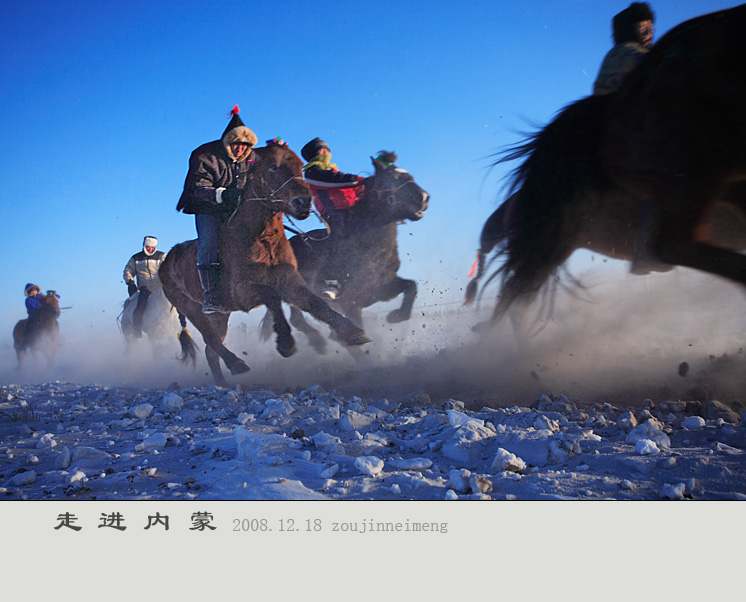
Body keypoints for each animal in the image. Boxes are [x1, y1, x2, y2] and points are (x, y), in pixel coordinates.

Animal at [158, 143, 368, 382]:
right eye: (273, 167)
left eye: (300, 166)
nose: (303, 201)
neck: (261, 239)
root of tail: (165, 263)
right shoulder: (243, 292)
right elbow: (272, 296)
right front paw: (286, 343)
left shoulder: (289, 281)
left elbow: (315, 303)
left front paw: (349, 332)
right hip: (192, 309)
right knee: (210, 339)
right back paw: (236, 363)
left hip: (220, 315)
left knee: (211, 350)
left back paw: (224, 381)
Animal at [280, 152, 428, 354]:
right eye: (393, 178)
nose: (424, 197)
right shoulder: (351, 304)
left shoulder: (381, 289)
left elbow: (411, 286)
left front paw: (396, 316)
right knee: (297, 318)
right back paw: (318, 343)